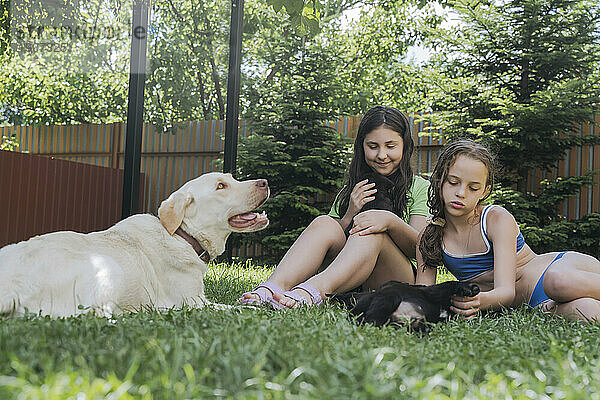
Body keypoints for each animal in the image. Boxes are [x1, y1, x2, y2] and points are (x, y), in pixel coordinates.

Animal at [0, 173, 270, 318]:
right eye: (221, 186)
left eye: (232, 178)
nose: (264, 182)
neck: (182, 235)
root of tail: (10, 289)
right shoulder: (194, 302)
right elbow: (233, 307)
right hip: (107, 266)